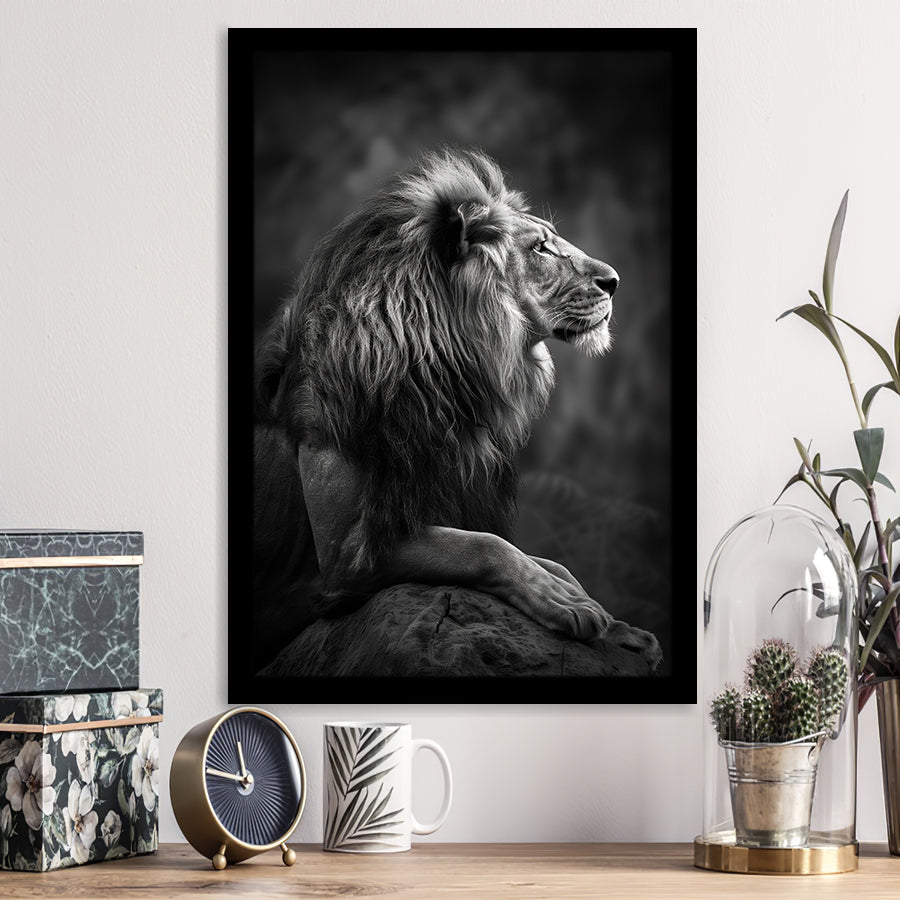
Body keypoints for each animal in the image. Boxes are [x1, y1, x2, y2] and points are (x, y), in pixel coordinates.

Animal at [253, 148, 661, 671]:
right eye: (541, 249)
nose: (614, 282)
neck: (444, 376)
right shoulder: (344, 556)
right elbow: (486, 547)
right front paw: (564, 603)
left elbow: (549, 560)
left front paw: (615, 624)